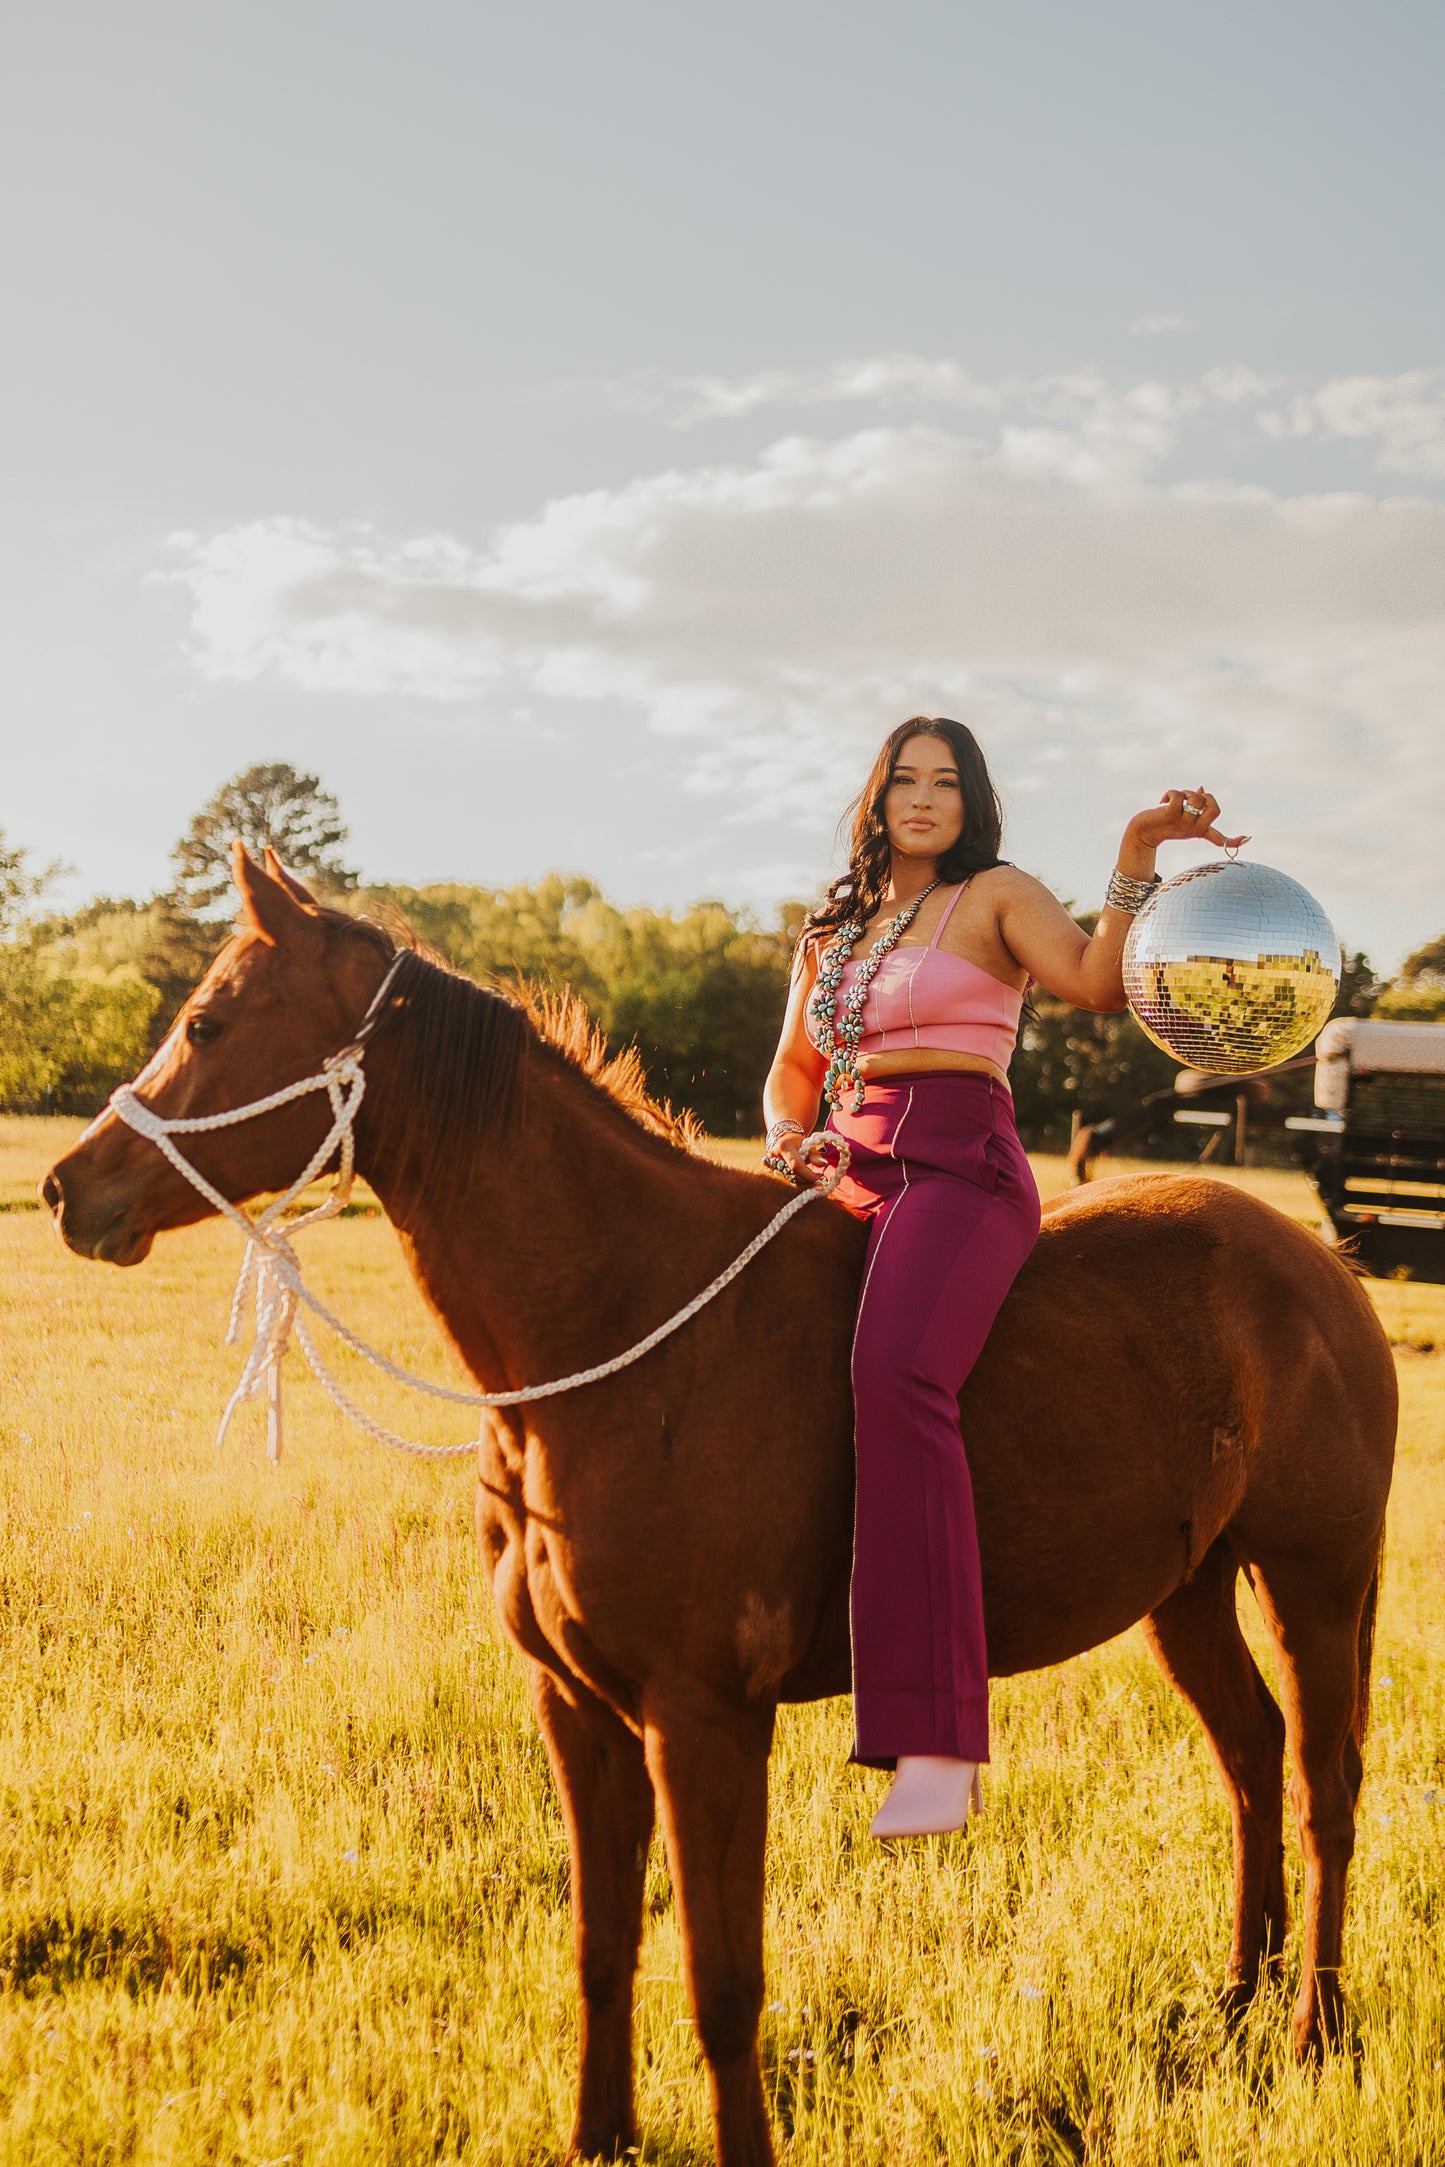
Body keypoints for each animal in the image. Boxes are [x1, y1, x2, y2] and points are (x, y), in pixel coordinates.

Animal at [45, 849, 1403, 2167]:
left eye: (208, 1022)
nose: (67, 1187)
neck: (622, 1329)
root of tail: (1318, 1263)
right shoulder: (578, 1710)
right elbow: (602, 1949)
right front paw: (596, 2135)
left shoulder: (703, 1721)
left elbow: (721, 1976)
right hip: (1186, 1592)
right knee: (1250, 1761)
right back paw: (1234, 2001)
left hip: (1314, 1584)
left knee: (1322, 1787)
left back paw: (1310, 2029)